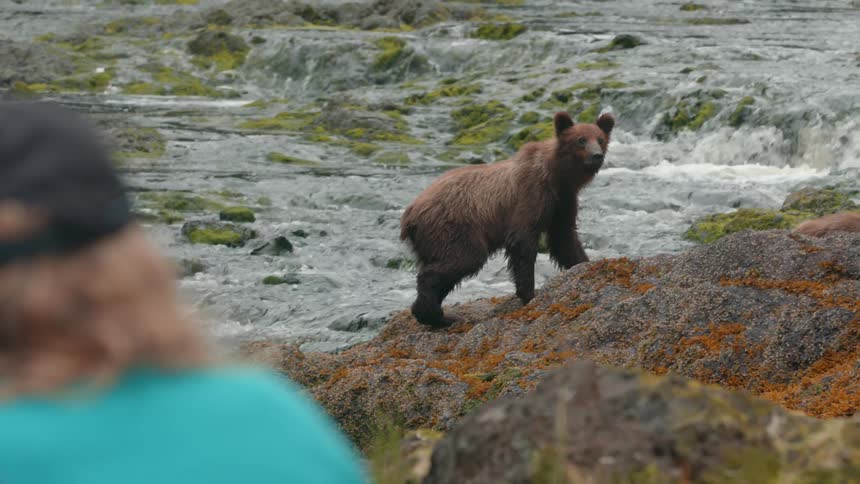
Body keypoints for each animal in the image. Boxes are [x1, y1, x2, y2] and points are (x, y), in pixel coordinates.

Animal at [400, 111, 615, 327]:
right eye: (581, 140)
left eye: (600, 139)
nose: (596, 155)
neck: (556, 176)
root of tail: (410, 214)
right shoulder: (530, 196)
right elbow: (523, 241)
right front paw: (529, 294)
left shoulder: (563, 203)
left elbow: (564, 239)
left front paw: (584, 265)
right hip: (453, 226)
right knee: (460, 259)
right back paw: (437, 315)